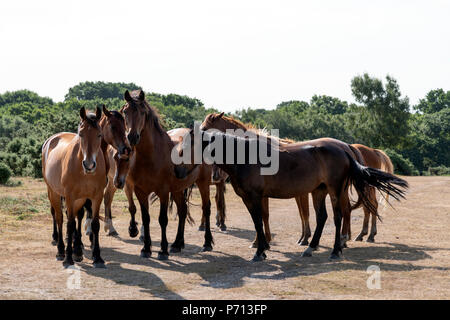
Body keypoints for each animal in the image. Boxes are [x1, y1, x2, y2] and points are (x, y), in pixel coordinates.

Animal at [42, 107, 109, 268]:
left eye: (99, 134)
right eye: (81, 134)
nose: (89, 165)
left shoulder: (96, 196)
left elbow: (95, 223)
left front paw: (97, 257)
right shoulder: (70, 197)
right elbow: (70, 224)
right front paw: (68, 258)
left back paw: (77, 250)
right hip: (53, 193)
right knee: (59, 218)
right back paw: (61, 250)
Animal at [118, 90, 213, 260]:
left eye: (142, 112)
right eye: (125, 111)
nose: (132, 137)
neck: (150, 156)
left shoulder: (163, 191)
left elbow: (162, 219)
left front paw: (162, 251)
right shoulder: (141, 192)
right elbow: (146, 218)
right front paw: (146, 249)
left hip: (203, 183)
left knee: (206, 208)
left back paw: (207, 243)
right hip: (177, 189)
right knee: (182, 211)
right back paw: (177, 244)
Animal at [176, 126, 408, 262]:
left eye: (187, 146)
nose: (177, 172)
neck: (246, 158)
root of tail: (344, 149)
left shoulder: (255, 197)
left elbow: (259, 221)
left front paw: (259, 252)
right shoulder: (249, 199)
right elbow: (258, 221)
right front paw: (262, 248)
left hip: (335, 190)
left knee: (338, 216)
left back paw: (336, 250)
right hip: (319, 191)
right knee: (322, 217)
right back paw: (310, 248)